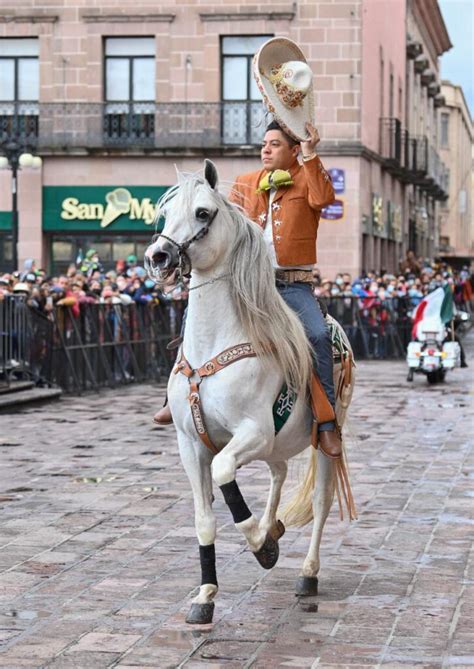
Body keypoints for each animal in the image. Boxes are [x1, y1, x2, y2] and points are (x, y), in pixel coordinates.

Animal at [145, 162, 356, 628]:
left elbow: (225, 473)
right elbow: (205, 518)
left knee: (321, 501)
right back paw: (273, 525)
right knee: (278, 472)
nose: (159, 257)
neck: (216, 345)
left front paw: (261, 545)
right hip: (275, 445)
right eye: (164, 212)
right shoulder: (190, 445)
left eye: (203, 213)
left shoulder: (252, 432)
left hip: (321, 441)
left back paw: (306, 571)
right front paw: (205, 595)